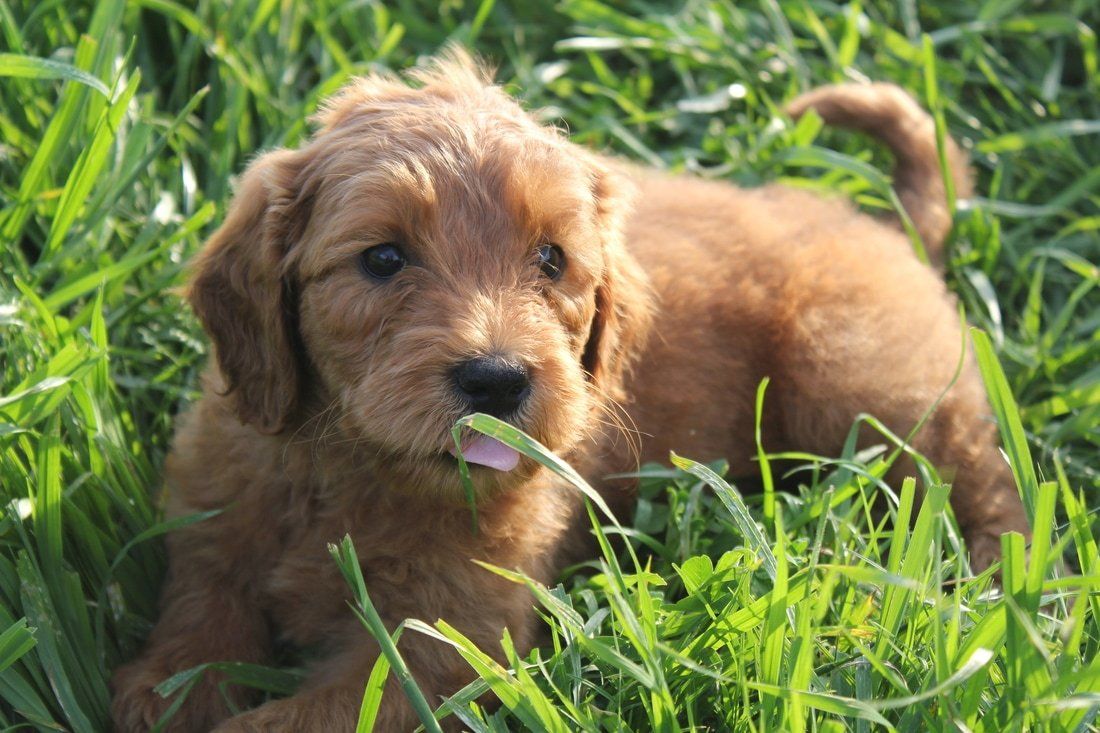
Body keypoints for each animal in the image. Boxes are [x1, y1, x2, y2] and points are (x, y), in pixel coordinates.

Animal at [111, 48, 1029, 726]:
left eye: (550, 258)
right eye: (383, 258)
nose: (496, 379)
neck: (352, 469)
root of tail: (882, 223)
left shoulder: (447, 638)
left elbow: (314, 712)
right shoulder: (211, 533)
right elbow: (193, 635)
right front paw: (163, 695)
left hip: (861, 382)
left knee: (979, 479)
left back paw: (999, 584)